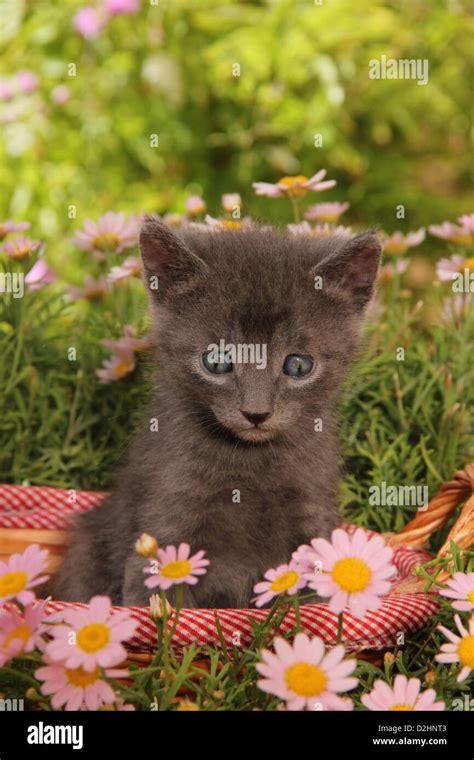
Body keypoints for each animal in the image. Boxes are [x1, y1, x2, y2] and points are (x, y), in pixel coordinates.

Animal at [52, 217, 382, 608]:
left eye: (299, 365)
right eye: (217, 361)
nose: (256, 413)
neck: (250, 461)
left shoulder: (313, 513)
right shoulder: (167, 519)